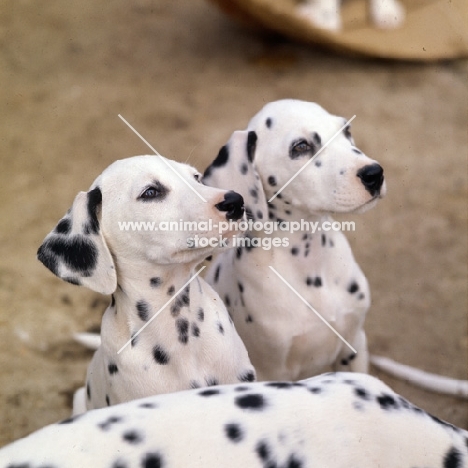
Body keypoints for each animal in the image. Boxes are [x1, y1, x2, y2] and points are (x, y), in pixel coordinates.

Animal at [203, 100, 386, 382]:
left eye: (346, 130)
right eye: (301, 146)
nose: (374, 174)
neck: (310, 264)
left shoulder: (354, 346)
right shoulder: (270, 371)